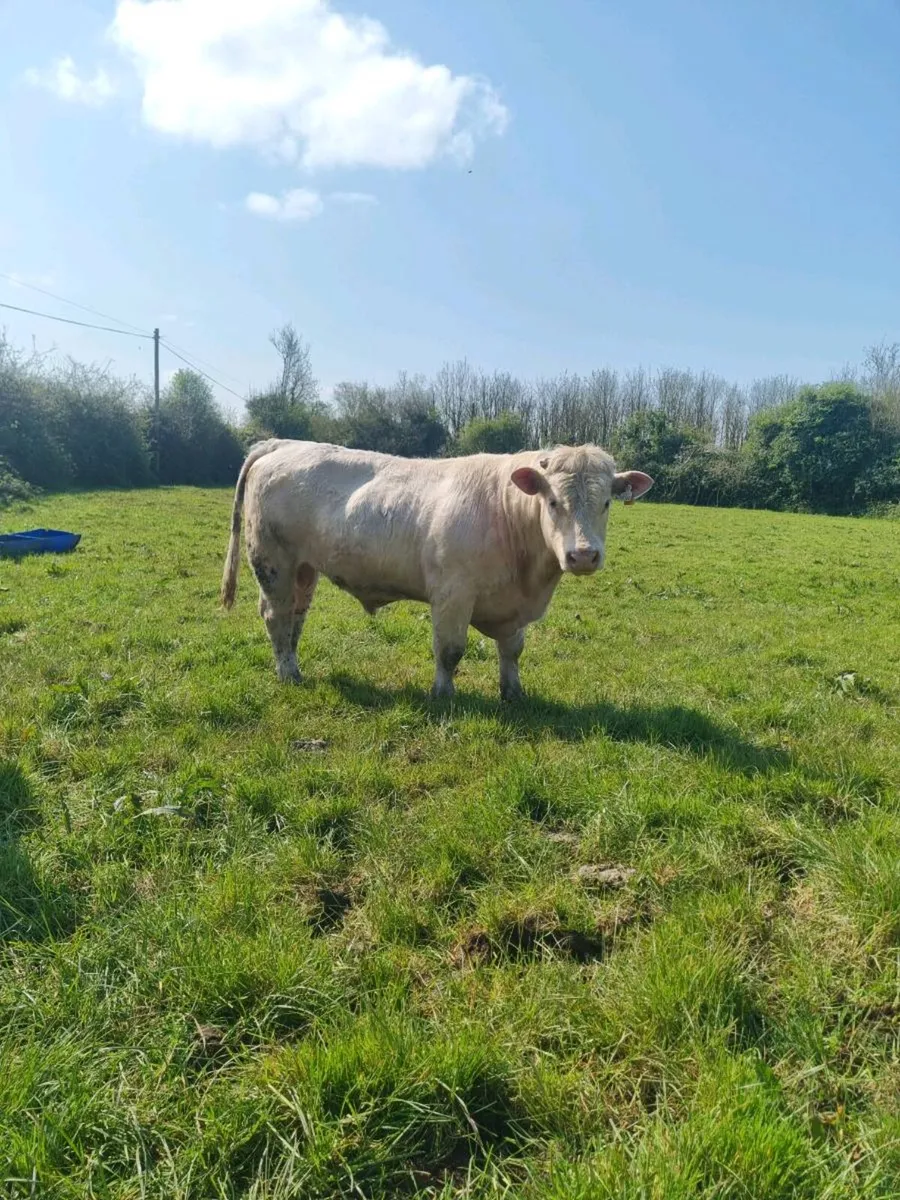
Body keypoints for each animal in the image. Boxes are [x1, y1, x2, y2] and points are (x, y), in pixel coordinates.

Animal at [221, 439, 653, 700]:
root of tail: (284, 443)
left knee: (296, 616)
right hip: (273, 561)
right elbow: (450, 650)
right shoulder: (452, 594)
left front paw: (513, 693)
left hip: (305, 568)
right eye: (552, 502)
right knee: (275, 615)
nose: (583, 555)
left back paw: (294, 666)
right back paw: (287, 673)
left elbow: (513, 650)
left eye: (607, 503)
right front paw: (443, 695)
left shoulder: (513, 607)